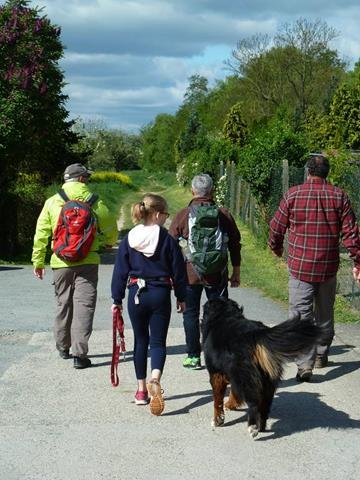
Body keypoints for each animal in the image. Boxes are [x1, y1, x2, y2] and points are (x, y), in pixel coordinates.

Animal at [202, 298, 324, 436]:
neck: (224, 316)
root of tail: (257, 334)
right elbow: (233, 392)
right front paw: (231, 404)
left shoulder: (216, 374)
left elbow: (217, 401)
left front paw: (218, 419)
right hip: (267, 381)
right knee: (264, 407)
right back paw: (261, 426)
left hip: (246, 378)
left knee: (254, 404)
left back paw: (253, 427)